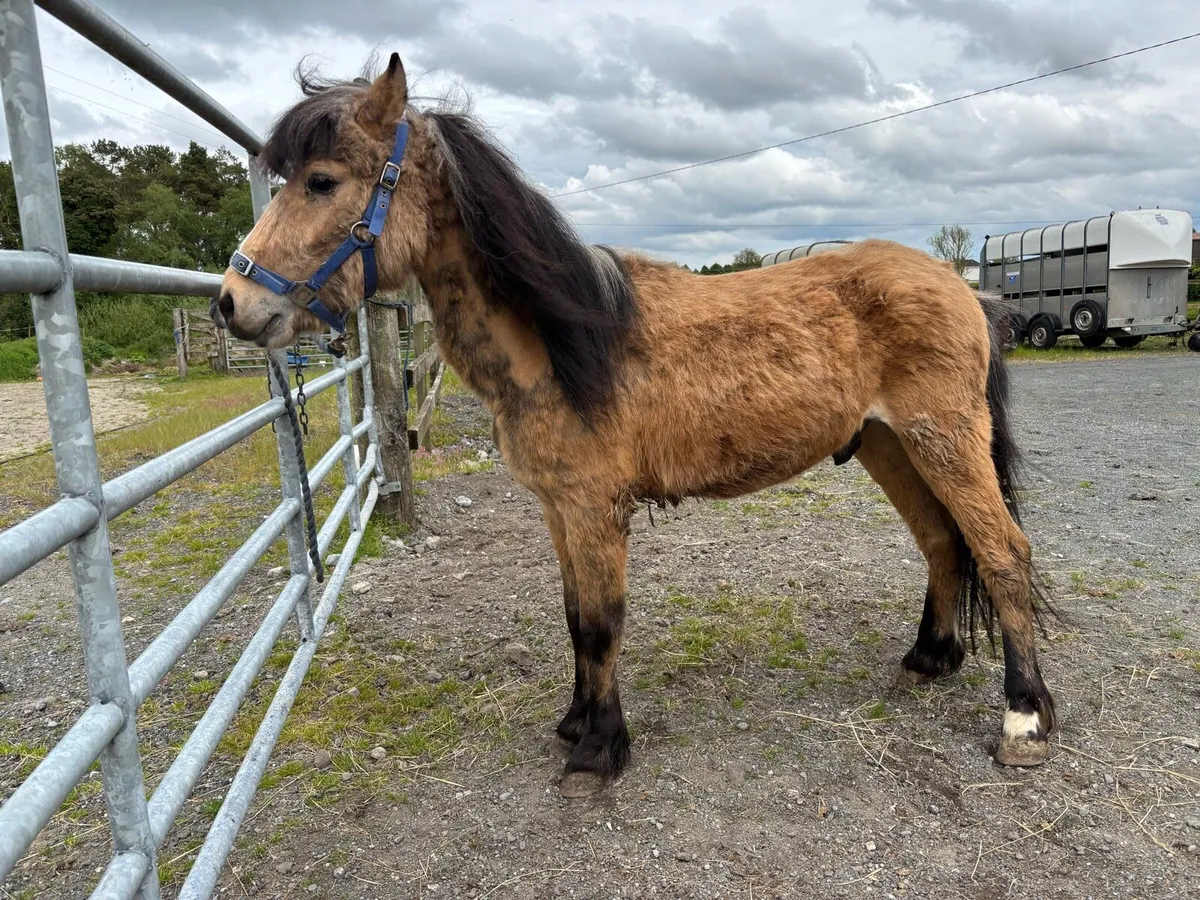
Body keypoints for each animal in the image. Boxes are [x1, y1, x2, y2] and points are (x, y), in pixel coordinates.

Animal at [214, 54, 1058, 798]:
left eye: (323, 181)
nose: (231, 303)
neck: (561, 341)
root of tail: (963, 290)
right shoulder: (558, 508)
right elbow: (572, 617)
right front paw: (574, 721)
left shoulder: (595, 509)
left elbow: (601, 624)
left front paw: (597, 750)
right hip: (890, 444)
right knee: (943, 543)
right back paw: (930, 658)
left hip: (944, 439)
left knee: (1002, 553)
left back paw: (1023, 721)